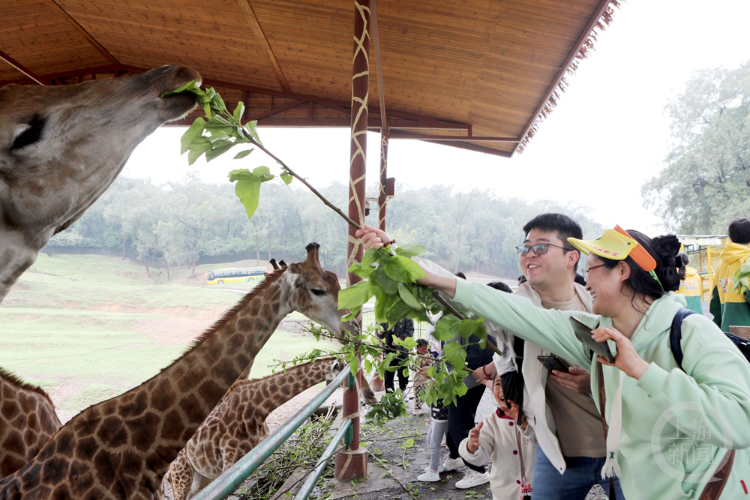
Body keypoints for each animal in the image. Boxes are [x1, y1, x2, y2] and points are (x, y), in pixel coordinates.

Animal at [0, 242, 352, 500]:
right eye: (318, 289)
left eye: (338, 281)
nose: (352, 325)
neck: (142, 451)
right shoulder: (229, 464)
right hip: (185, 478)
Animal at [164, 356, 376, 500]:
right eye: (352, 373)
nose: (371, 395)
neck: (258, 408)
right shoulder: (229, 466)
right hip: (182, 475)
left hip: (200, 476)